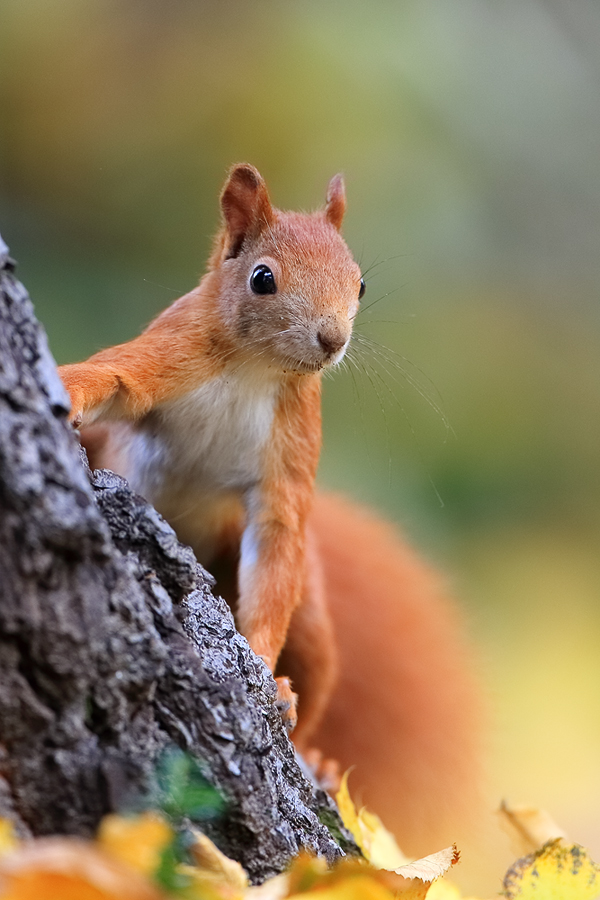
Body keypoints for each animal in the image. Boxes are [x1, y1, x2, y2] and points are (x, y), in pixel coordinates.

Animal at [58, 165, 480, 856]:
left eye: (360, 282)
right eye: (262, 278)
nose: (332, 340)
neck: (253, 368)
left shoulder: (292, 451)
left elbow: (278, 542)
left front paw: (261, 668)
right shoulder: (168, 353)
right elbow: (112, 376)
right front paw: (64, 392)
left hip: (312, 622)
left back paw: (313, 747)